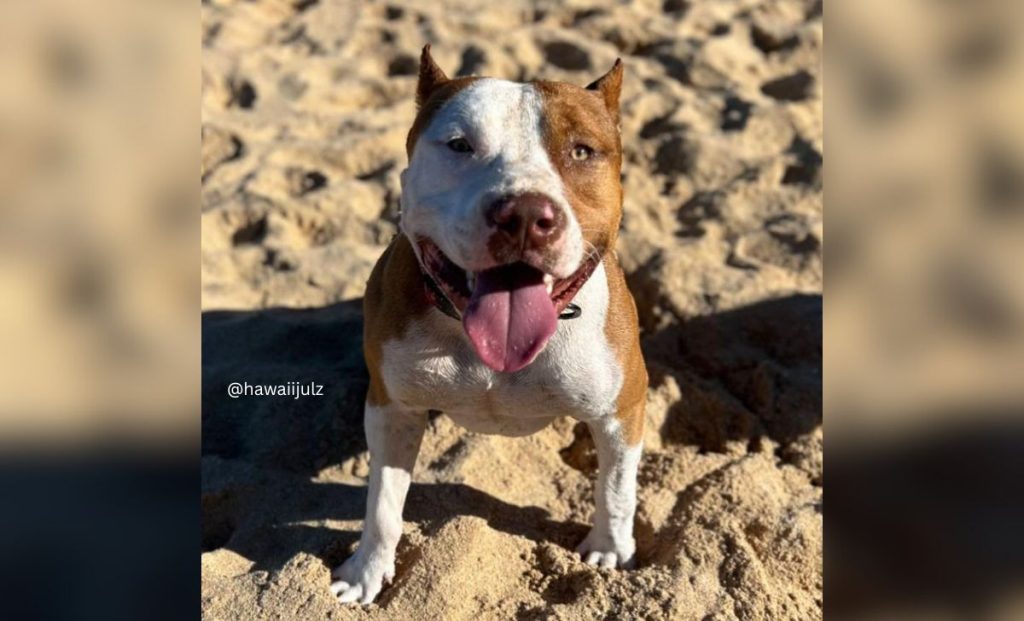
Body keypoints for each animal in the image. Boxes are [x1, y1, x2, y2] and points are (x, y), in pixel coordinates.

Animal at [329, 45, 647, 606]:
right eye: (460, 145)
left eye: (582, 151)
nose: (524, 215)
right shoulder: (392, 409)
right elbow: (383, 502)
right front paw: (366, 571)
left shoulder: (622, 409)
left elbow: (615, 489)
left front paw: (610, 549)